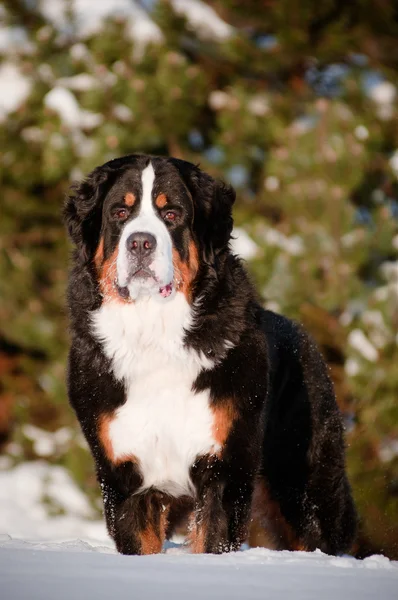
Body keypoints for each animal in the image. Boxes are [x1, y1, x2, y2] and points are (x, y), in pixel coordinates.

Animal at [64, 152, 358, 556]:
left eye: (171, 214)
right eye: (119, 213)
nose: (140, 243)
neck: (154, 334)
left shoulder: (225, 468)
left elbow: (213, 538)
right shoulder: (123, 473)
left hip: (304, 488)